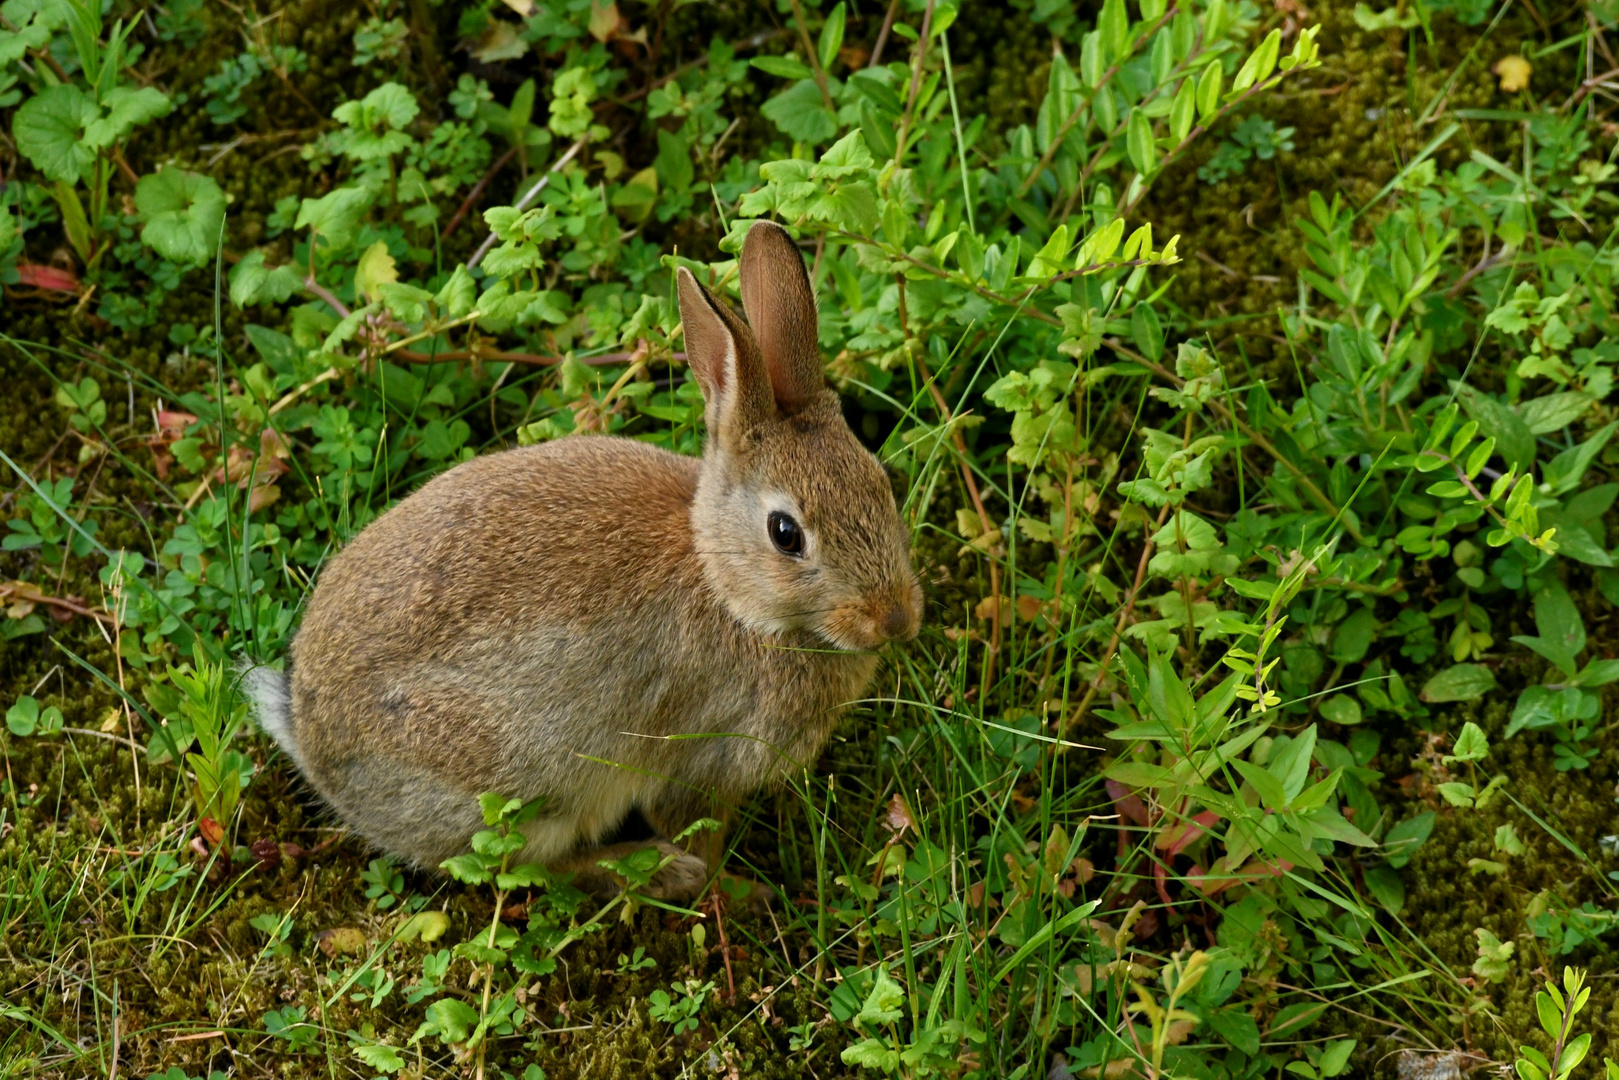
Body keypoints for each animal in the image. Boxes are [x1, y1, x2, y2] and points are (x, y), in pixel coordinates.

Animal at [241, 215, 926, 900]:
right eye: (786, 533)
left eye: (881, 482)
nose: (896, 620)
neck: (726, 587)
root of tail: (311, 738)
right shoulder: (701, 760)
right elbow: (696, 833)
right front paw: (737, 891)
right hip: (522, 783)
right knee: (521, 869)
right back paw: (652, 870)